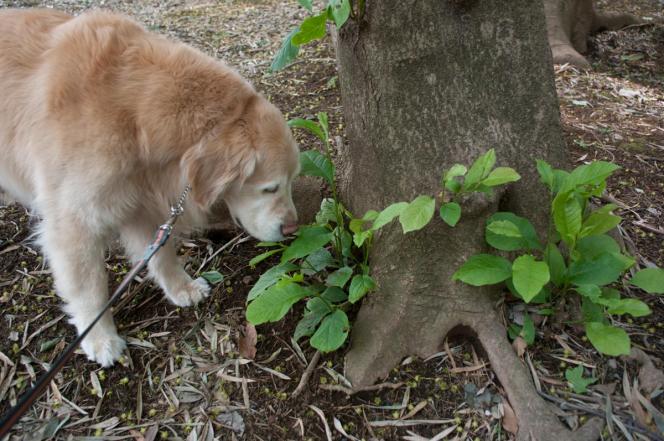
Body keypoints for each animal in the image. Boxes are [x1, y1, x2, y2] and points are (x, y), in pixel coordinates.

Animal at [0, 9, 298, 364]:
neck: (134, 113)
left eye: (290, 182)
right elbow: (89, 288)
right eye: (270, 188)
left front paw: (181, 288)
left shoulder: (143, 205)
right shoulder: (74, 225)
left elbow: (162, 254)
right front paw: (100, 338)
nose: (293, 230)